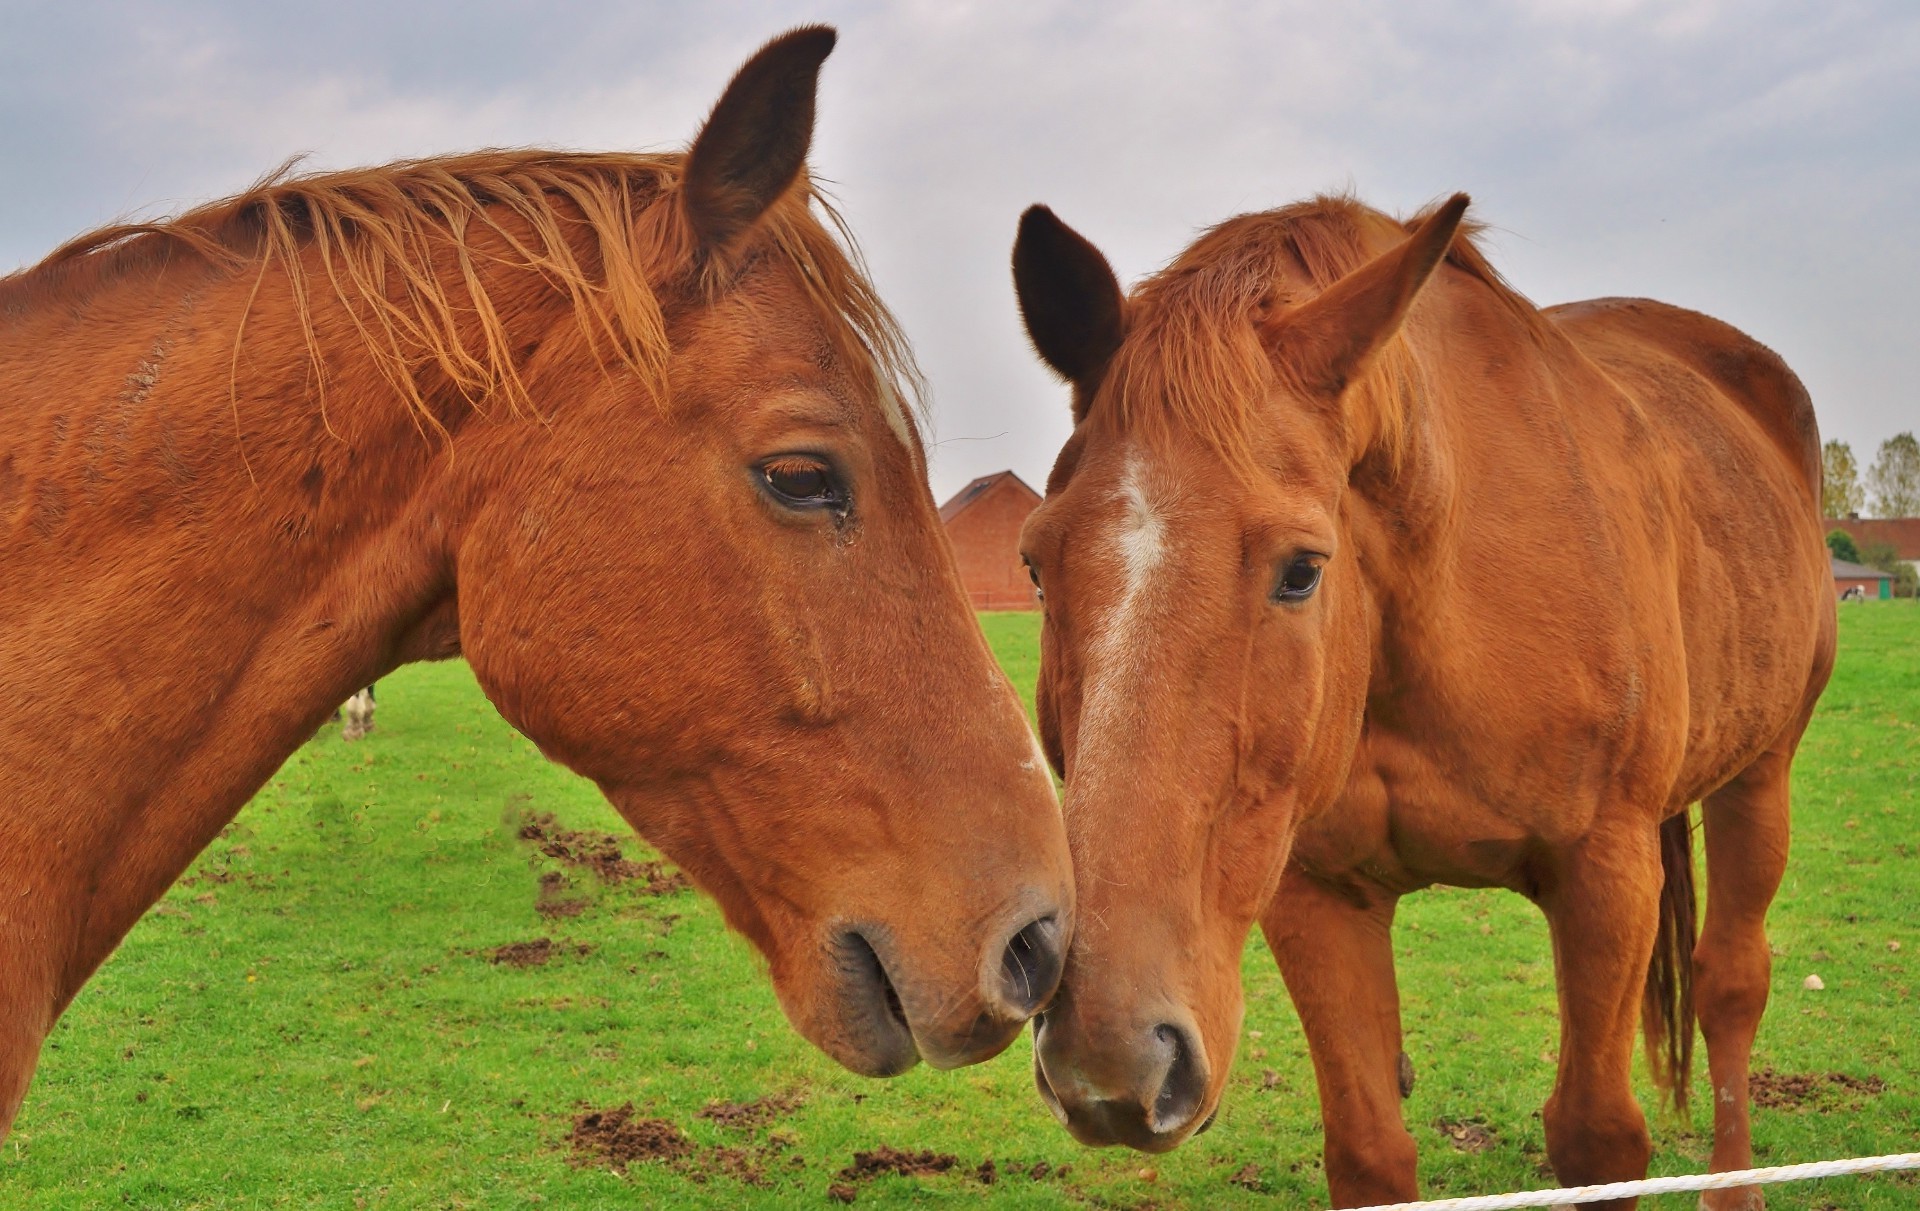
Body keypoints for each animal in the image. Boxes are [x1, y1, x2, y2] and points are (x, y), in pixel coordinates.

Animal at [1006, 193, 1827, 1205]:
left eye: (1302, 569)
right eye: (1036, 563)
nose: (1113, 1055)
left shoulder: (1609, 870)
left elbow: (1598, 1138)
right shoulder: (1316, 890)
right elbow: (1370, 1150)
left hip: (1761, 772)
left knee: (1730, 984)